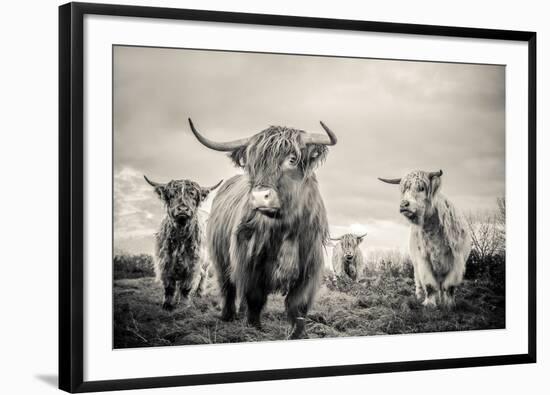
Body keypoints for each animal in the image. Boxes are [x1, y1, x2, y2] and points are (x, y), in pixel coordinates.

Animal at [147, 176, 224, 312]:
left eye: (193, 194)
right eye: (172, 194)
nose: (183, 209)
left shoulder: (192, 262)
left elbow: (186, 286)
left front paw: (184, 305)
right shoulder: (165, 261)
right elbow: (169, 286)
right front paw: (167, 304)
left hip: (206, 260)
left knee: (203, 275)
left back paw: (199, 293)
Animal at [188, 118, 338, 340]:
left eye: (292, 159)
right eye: (252, 164)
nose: (259, 197)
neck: (285, 228)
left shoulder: (309, 267)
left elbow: (297, 304)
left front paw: (298, 334)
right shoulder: (249, 261)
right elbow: (254, 297)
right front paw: (253, 328)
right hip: (220, 257)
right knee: (228, 287)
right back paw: (227, 316)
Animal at [380, 170, 474, 310]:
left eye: (421, 188)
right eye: (404, 189)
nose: (404, 204)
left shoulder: (457, 260)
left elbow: (449, 286)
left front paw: (449, 305)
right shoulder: (423, 259)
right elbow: (429, 285)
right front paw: (429, 304)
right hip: (415, 263)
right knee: (419, 281)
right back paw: (419, 296)